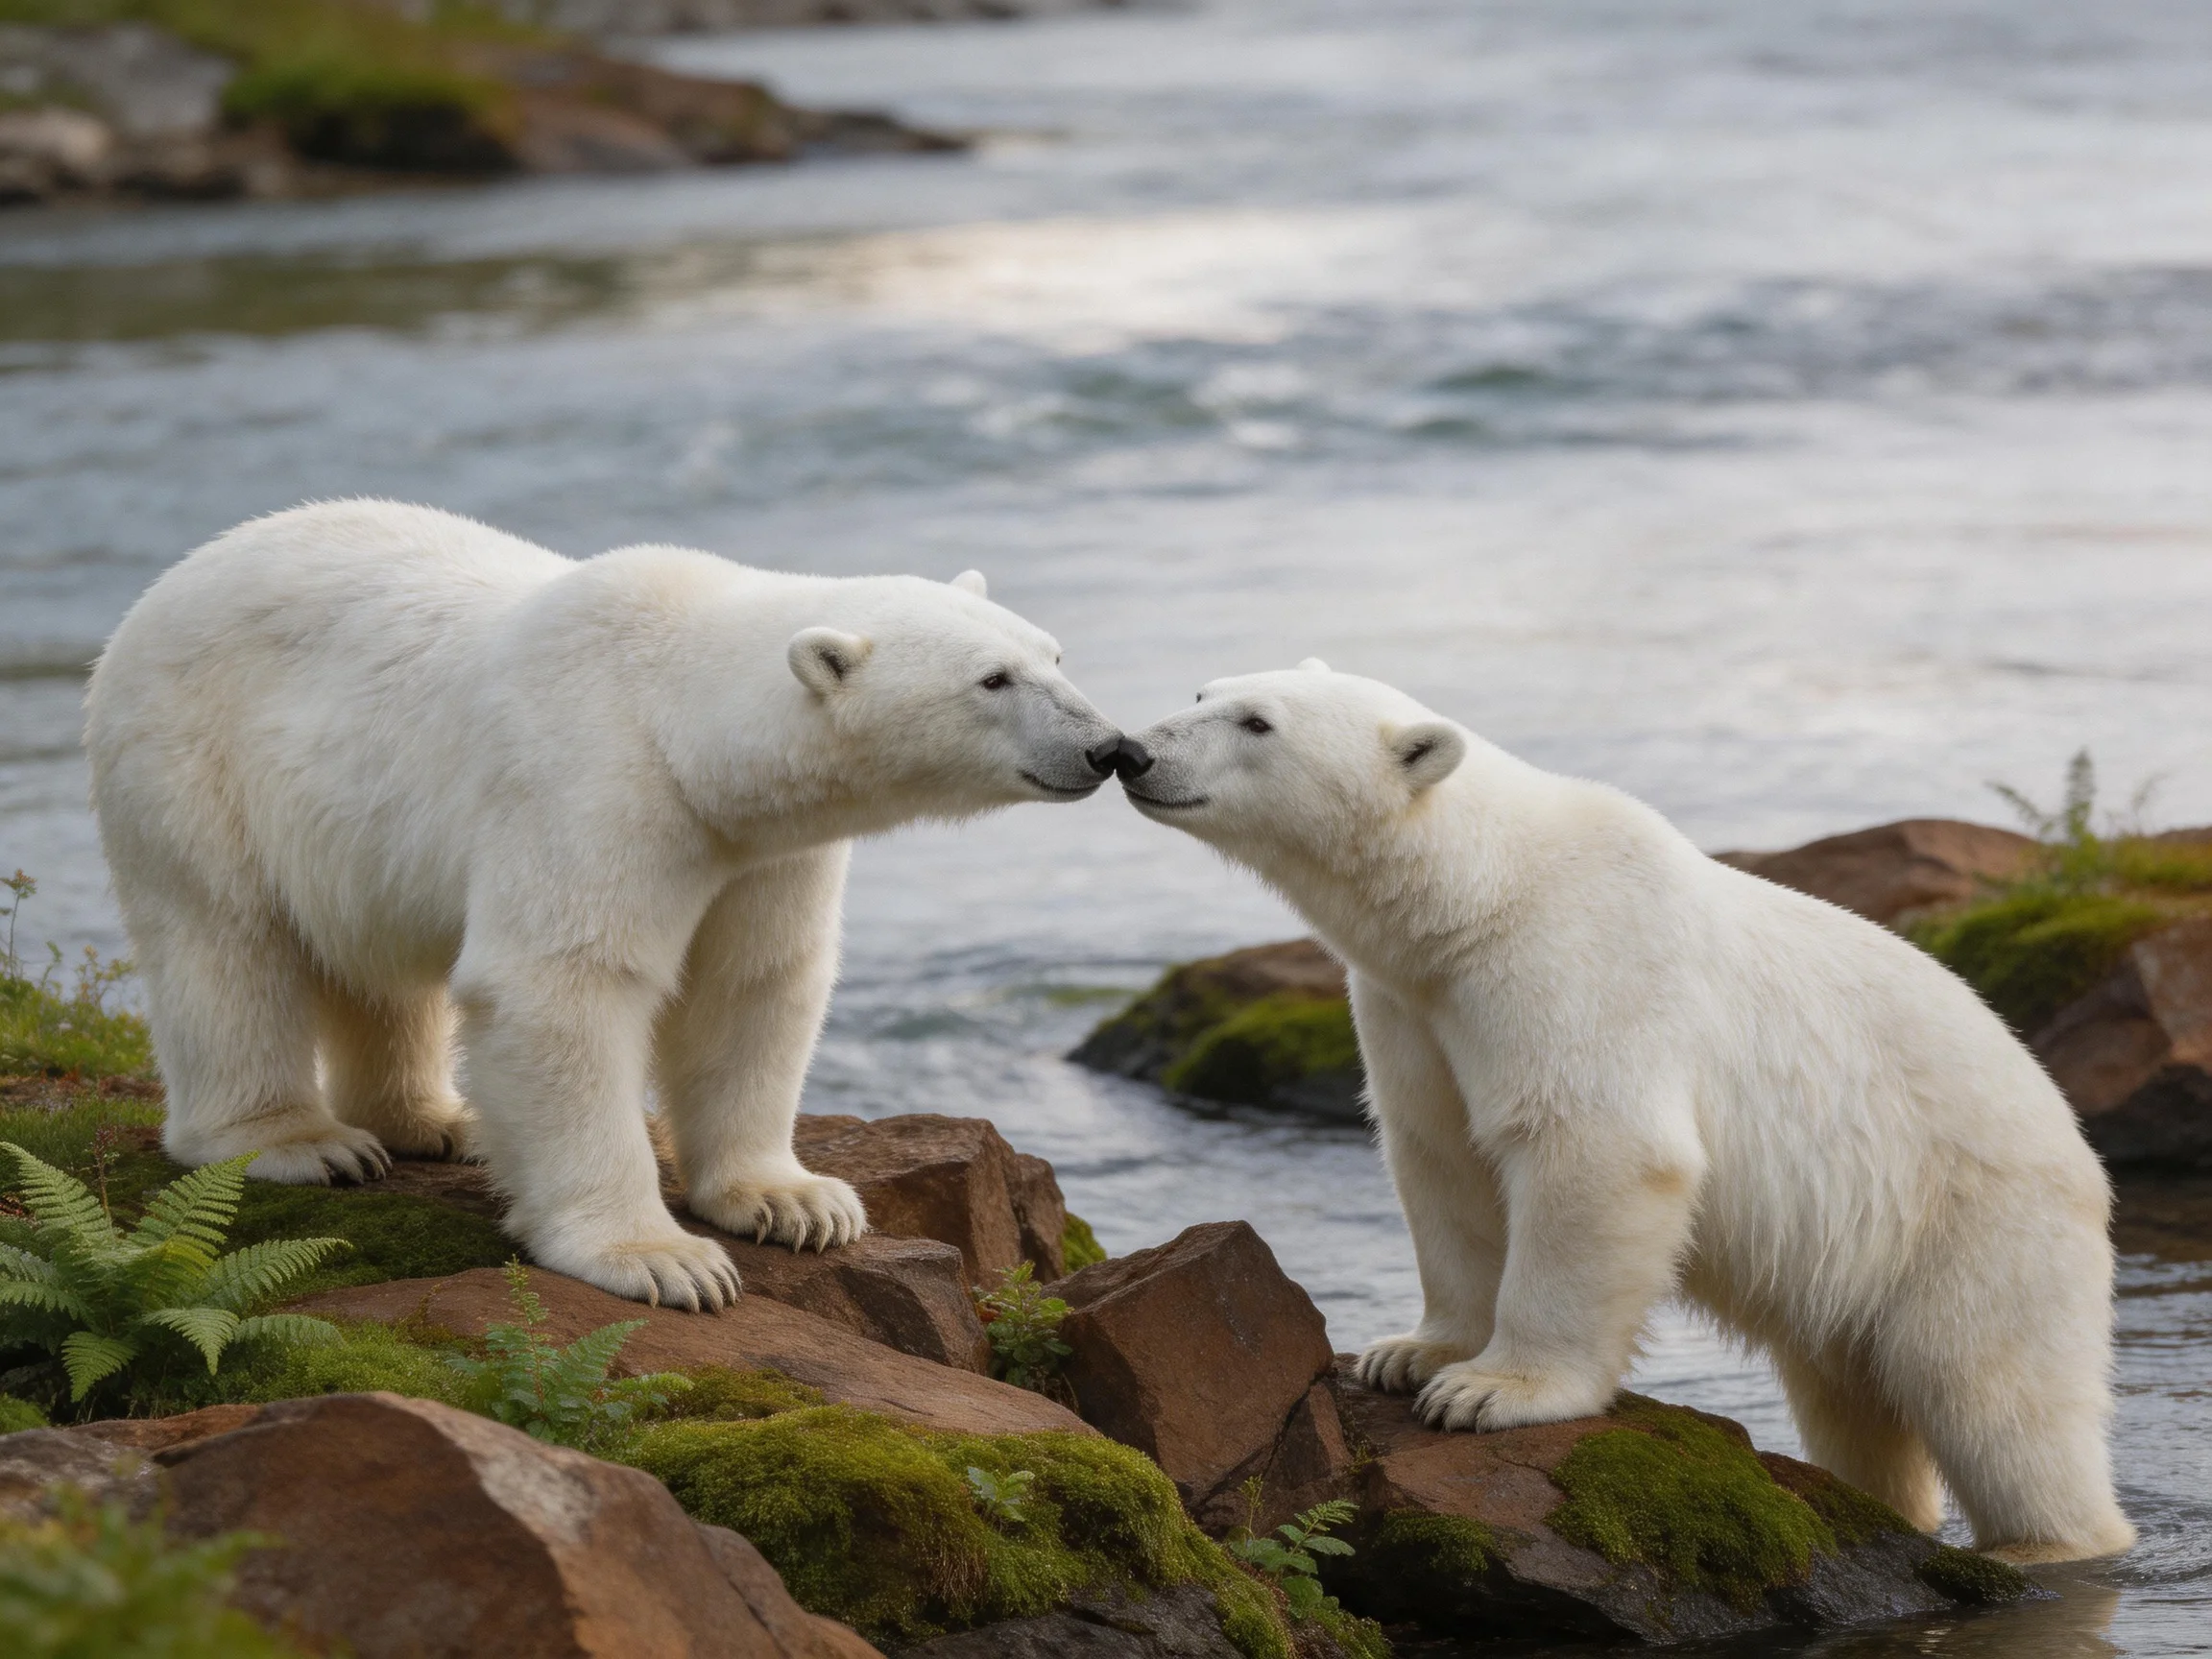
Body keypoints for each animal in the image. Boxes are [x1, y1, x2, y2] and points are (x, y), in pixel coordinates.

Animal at [84, 501, 1127, 1310]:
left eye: (1054, 653)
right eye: (992, 679)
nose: (1107, 746)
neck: (677, 715)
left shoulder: (761, 855)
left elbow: (753, 985)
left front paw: (795, 1202)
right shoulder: (593, 783)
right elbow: (564, 986)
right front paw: (664, 1260)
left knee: (377, 964)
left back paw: (435, 1120)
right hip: (193, 761)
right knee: (225, 946)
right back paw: (302, 1142)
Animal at [1115, 659, 2134, 1564]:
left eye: (1258, 723)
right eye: (1206, 690)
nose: (1133, 751)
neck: (1477, 893)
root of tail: (2082, 1155)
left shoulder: (1578, 967)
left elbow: (1595, 1148)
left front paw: (1492, 1393)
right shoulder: (1413, 1007)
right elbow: (1441, 1160)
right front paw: (1412, 1353)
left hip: (1976, 1224)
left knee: (1994, 1399)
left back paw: (2044, 1544)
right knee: (1854, 1402)